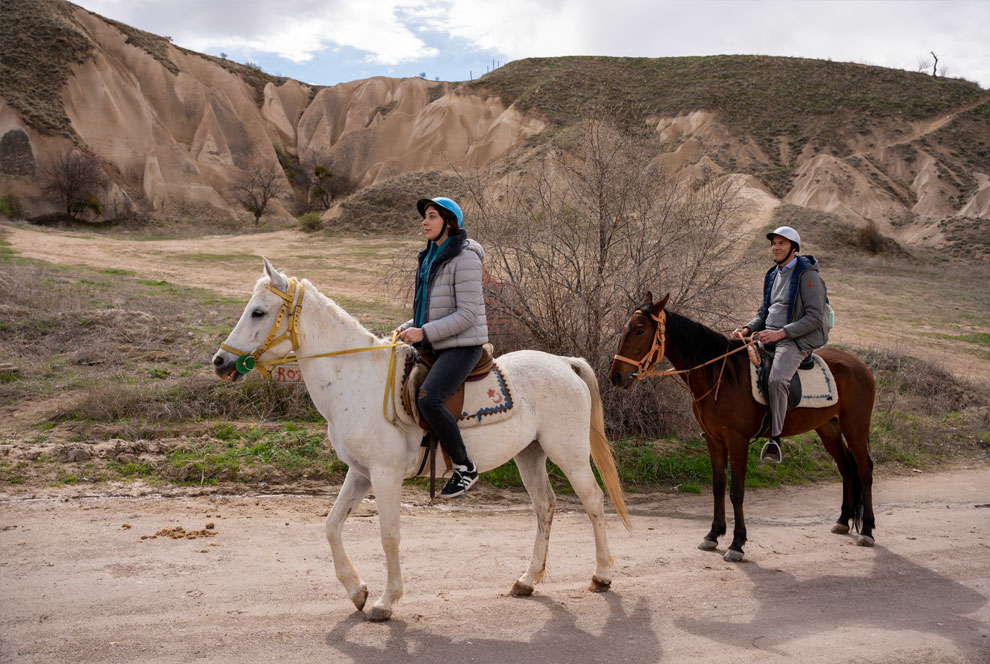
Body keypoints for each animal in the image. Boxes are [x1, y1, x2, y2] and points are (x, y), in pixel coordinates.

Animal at [212, 260, 632, 624]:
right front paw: (357, 591)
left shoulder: (384, 475)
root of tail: (563, 363)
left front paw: (385, 601)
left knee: (593, 502)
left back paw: (601, 575)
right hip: (530, 455)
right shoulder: (360, 473)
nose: (219, 362)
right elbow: (332, 526)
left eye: (259, 312)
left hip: (569, 454)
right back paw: (527, 581)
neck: (355, 378)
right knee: (545, 506)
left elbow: (389, 534)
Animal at [608, 294, 880, 560]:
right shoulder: (713, 439)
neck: (719, 376)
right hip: (828, 428)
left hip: (855, 427)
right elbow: (718, 486)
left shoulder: (737, 440)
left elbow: (736, 491)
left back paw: (867, 530)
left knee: (864, 470)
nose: (616, 376)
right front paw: (713, 534)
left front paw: (737, 543)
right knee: (846, 468)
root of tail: (859, 365)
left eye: (640, 330)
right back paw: (843, 520)